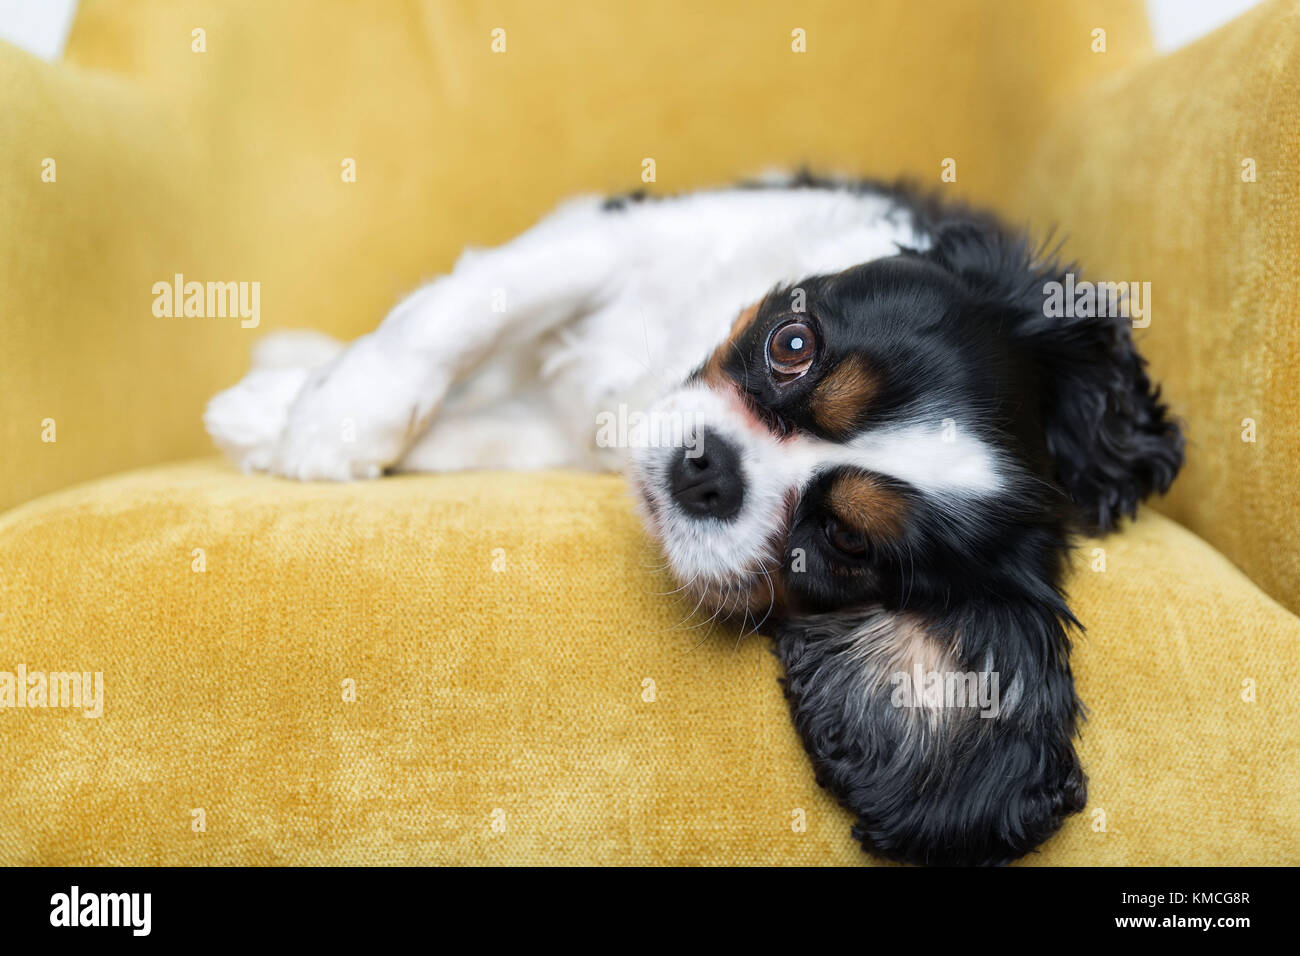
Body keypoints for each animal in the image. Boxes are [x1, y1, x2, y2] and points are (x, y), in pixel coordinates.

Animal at [205, 174, 1190, 868]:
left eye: (845, 542)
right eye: (792, 345)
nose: (707, 468)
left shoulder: (559, 432)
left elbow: (479, 428)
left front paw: (284, 419)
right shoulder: (617, 236)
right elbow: (462, 312)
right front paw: (331, 416)